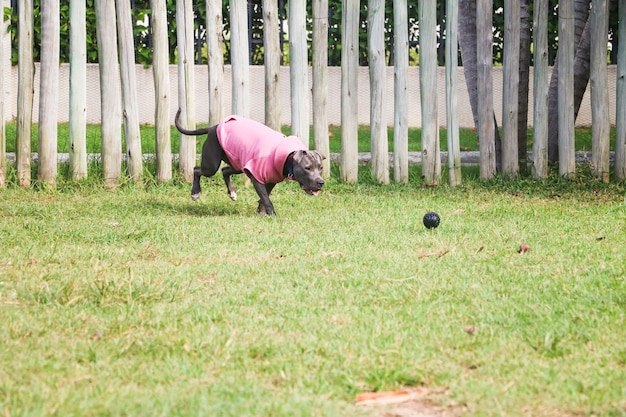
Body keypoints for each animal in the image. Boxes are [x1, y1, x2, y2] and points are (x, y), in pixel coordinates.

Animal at [174, 108, 324, 214]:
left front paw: (262, 211)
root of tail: (212, 127)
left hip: (237, 163)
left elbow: (265, 196)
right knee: (197, 169)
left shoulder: (271, 179)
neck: (287, 157)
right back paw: (195, 192)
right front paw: (272, 214)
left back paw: (232, 193)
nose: (321, 182)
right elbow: (266, 197)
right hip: (211, 164)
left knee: (225, 170)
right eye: (307, 168)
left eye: (320, 168)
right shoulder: (256, 176)